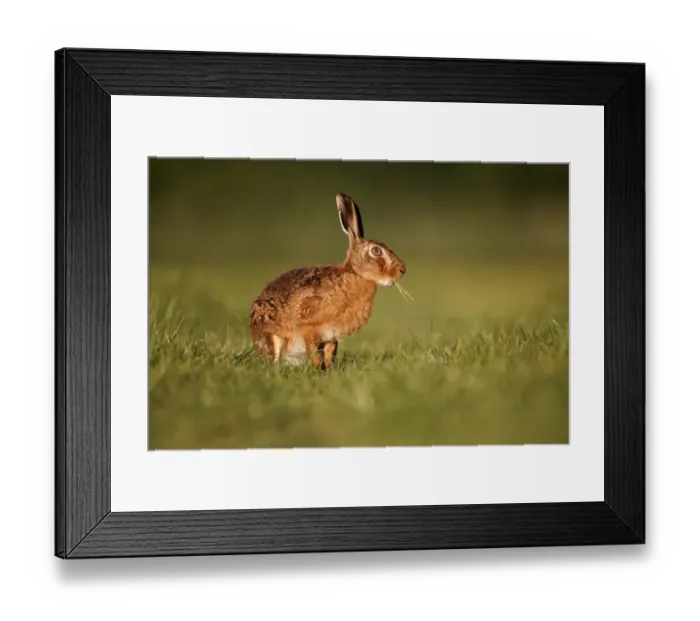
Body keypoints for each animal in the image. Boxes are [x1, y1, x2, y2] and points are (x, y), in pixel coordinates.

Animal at [249, 192, 406, 370]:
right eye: (376, 251)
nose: (402, 270)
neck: (355, 274)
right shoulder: (310, 329)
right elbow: (315, 353)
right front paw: (319, 369)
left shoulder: (331, 336)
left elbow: (330, 354)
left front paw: (329, 370)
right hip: (273, 337)